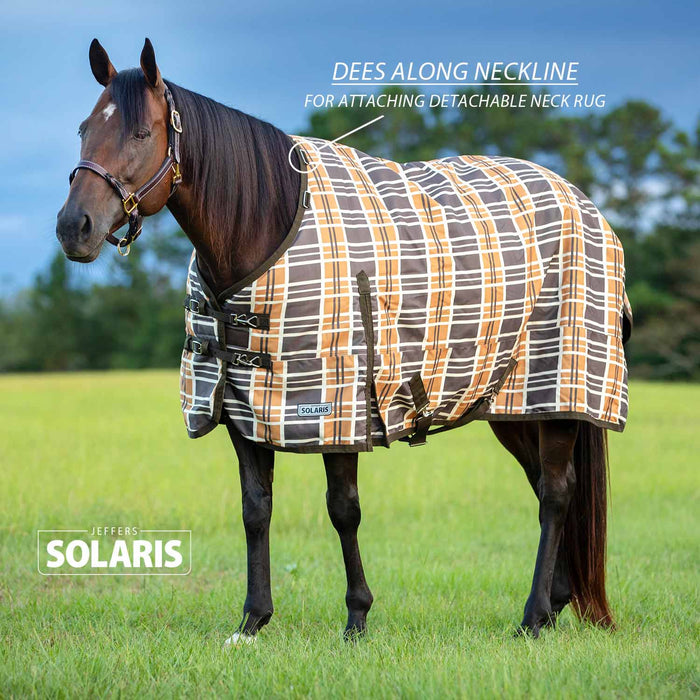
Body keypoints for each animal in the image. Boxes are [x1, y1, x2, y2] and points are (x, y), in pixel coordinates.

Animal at [56, 38, 628, 644]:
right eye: (84, 129)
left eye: (142, 134)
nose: (74, 227)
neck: (267, 226)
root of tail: (583, 202)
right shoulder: (240, 405)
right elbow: (255, 509)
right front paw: (253, 619)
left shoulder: (337, 406)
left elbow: (342, 509)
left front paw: (357, 617)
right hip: (511, 402)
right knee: (546, 484)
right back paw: (555, 603)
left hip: (560, 392)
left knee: (556, 494)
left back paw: (532, 617)